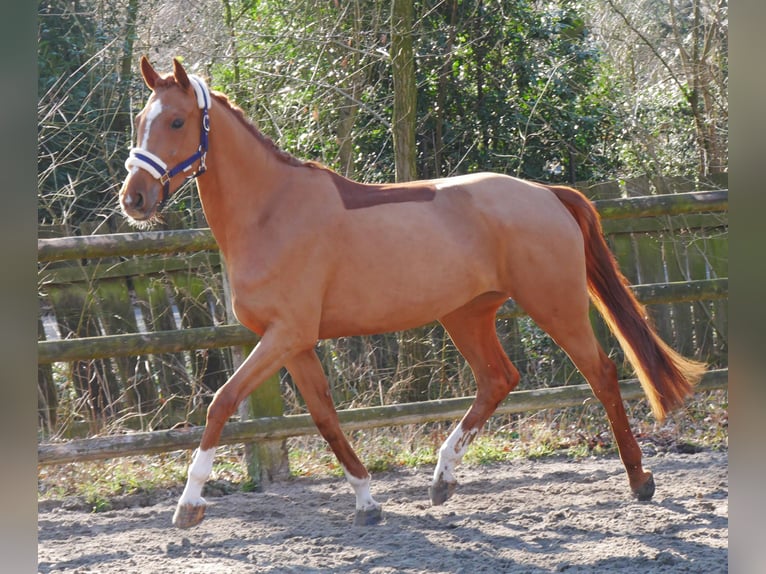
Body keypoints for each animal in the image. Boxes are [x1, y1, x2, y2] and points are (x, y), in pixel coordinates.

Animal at [117, 58, 704, 532]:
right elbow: (326, 419)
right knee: (499, 379)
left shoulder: (284, 335)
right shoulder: (295, 342)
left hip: (553, 304)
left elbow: (222, 403)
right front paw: (367, 503)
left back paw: (640, 481)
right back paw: (442, 480)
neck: (270, 212)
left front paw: (188, 506)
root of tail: (546, 193)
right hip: (466, 315)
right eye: (140, 120)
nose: (135, 199)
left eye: (176, 121)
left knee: (601, 373)